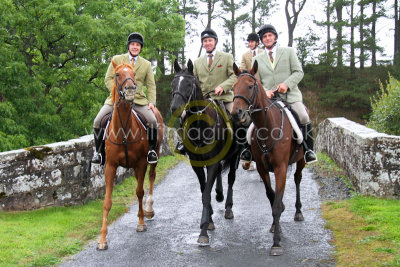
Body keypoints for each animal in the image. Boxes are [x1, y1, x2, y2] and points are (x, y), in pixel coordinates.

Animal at [97, 60, 164, 251]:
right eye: (117, 74)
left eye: (134, 73)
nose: (130, 90)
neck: (124, 131)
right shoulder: (110, 166)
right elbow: (107, 201)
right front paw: (102, 238)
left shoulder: (141, 163)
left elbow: (139, 192)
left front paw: (141, 222)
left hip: (153, 157)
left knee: (151, 177)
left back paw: (149, 210)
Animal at [170, 59, 241, 247]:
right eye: (173, 83)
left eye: (189, 84)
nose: (175, 108)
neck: (200, 125)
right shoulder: (197, 165)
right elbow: (204, 191)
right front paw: (209, 221)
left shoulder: (213, 162)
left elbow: (206, 194)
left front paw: (203, 231)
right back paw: (219, 195)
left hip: (235, 157)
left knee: (231, 179)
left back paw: (228, 207)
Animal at [230, 61, 304, 258]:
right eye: (233, 87)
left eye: (250, 86)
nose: (236, 113)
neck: (268, 128)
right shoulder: (263, 169)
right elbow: (272, 198)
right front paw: (275, 226)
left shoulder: (281, 168)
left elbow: (276, 203)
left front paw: (276, 243)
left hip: (301, 162)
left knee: (298, 180)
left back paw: (298, 211)